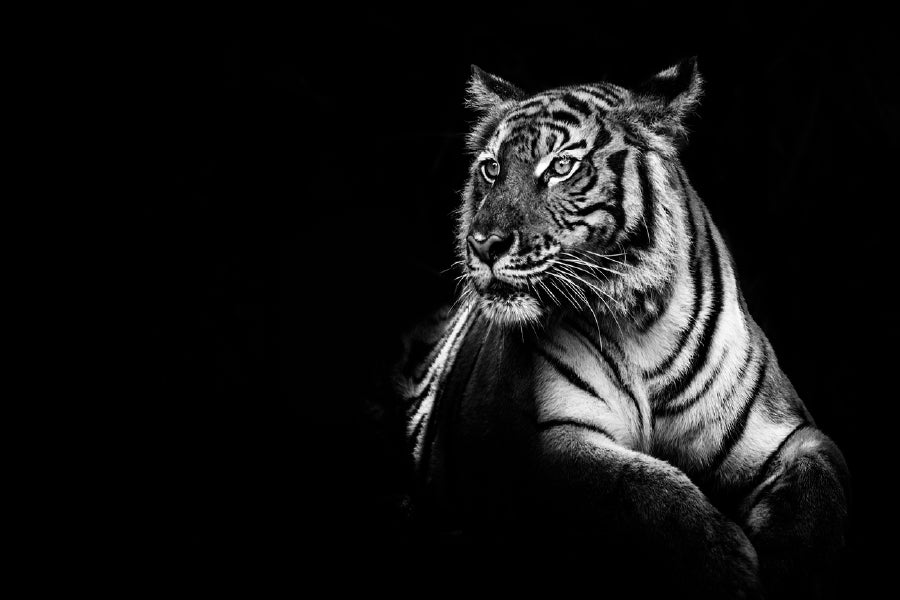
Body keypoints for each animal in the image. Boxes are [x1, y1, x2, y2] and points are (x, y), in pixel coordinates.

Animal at [395, 58, 850, 599]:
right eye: (491, 168)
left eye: (561, 167)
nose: (483, 244)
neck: (643, 323)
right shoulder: (547, 438)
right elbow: (644, 489)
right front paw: (729, 568)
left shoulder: (788, 436)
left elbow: (817, 499)